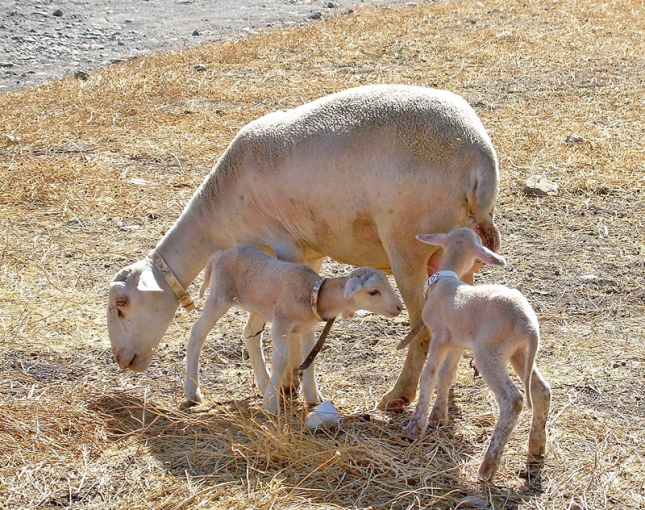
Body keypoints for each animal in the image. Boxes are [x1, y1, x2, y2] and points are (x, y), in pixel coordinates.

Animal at [184, 243, 400, 414]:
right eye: (373, 292)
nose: (399, 307)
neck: (313, 292)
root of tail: (219, 254)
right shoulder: (281, 323)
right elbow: (281, 360)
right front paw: (271, 406)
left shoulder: (307, 328)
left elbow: (310, 358)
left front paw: (313, 397)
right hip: (220, 295)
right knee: (197, 332)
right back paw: (192, 391)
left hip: (258, 306)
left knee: (249, 333)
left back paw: (263, 384)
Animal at [402, 229, 548, 480]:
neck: (446, 280)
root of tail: (529, 326)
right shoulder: (456, 344)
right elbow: (446, 376)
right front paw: (438, 416)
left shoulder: (440, 336)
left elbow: (429, 375)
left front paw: (416, 425)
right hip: (519, 353)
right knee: (541, 389)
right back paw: (536, 446)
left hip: (489, 352)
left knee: (513, 400)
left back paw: (488, 465)